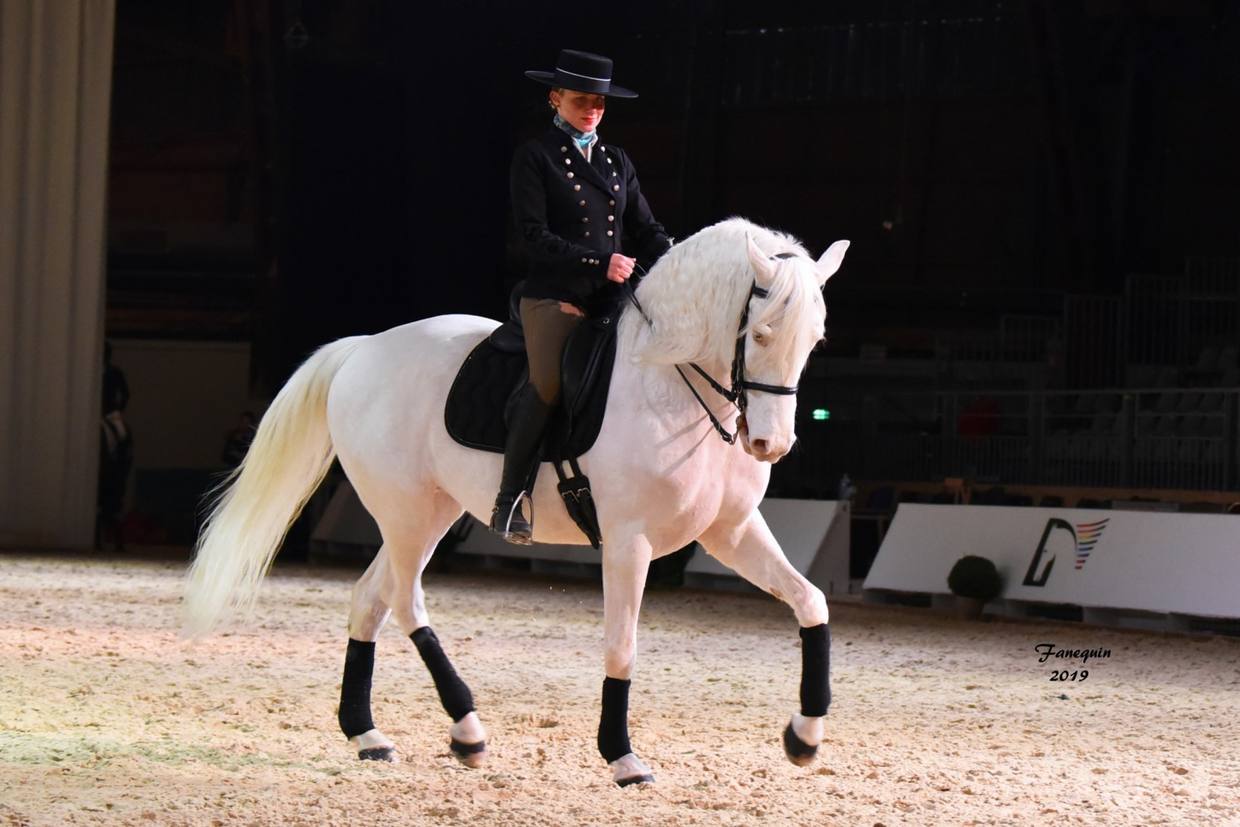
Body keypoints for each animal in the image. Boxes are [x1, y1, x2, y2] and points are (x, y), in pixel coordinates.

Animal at [183, 217, 849, 787]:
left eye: (814, 341)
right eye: (758, 333)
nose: (770, 445)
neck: (669, 381)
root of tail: (366, 348)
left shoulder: (729, 531)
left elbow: (811, 601)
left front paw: (805, 736)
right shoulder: (628, 539)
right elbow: (622, 645)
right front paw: (622, 757)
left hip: (430, 512)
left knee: (370, 599)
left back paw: (367, 734)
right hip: (404, 511)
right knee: (405, 601)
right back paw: (467, 730)